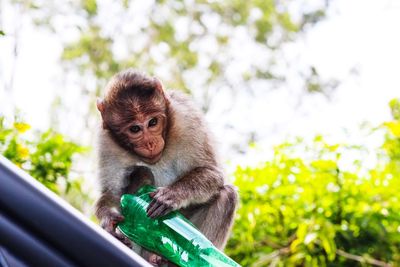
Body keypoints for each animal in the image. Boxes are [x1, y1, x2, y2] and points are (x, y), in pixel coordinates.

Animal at [94, 69, 238, 266]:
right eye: (135, 129)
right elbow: (112, 193)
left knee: (226, 195)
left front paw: (172, 195)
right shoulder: (105, 141)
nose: (150, 143)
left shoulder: (187, 117)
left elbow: (212, 172)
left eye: (153, 122)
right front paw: (108, 218)